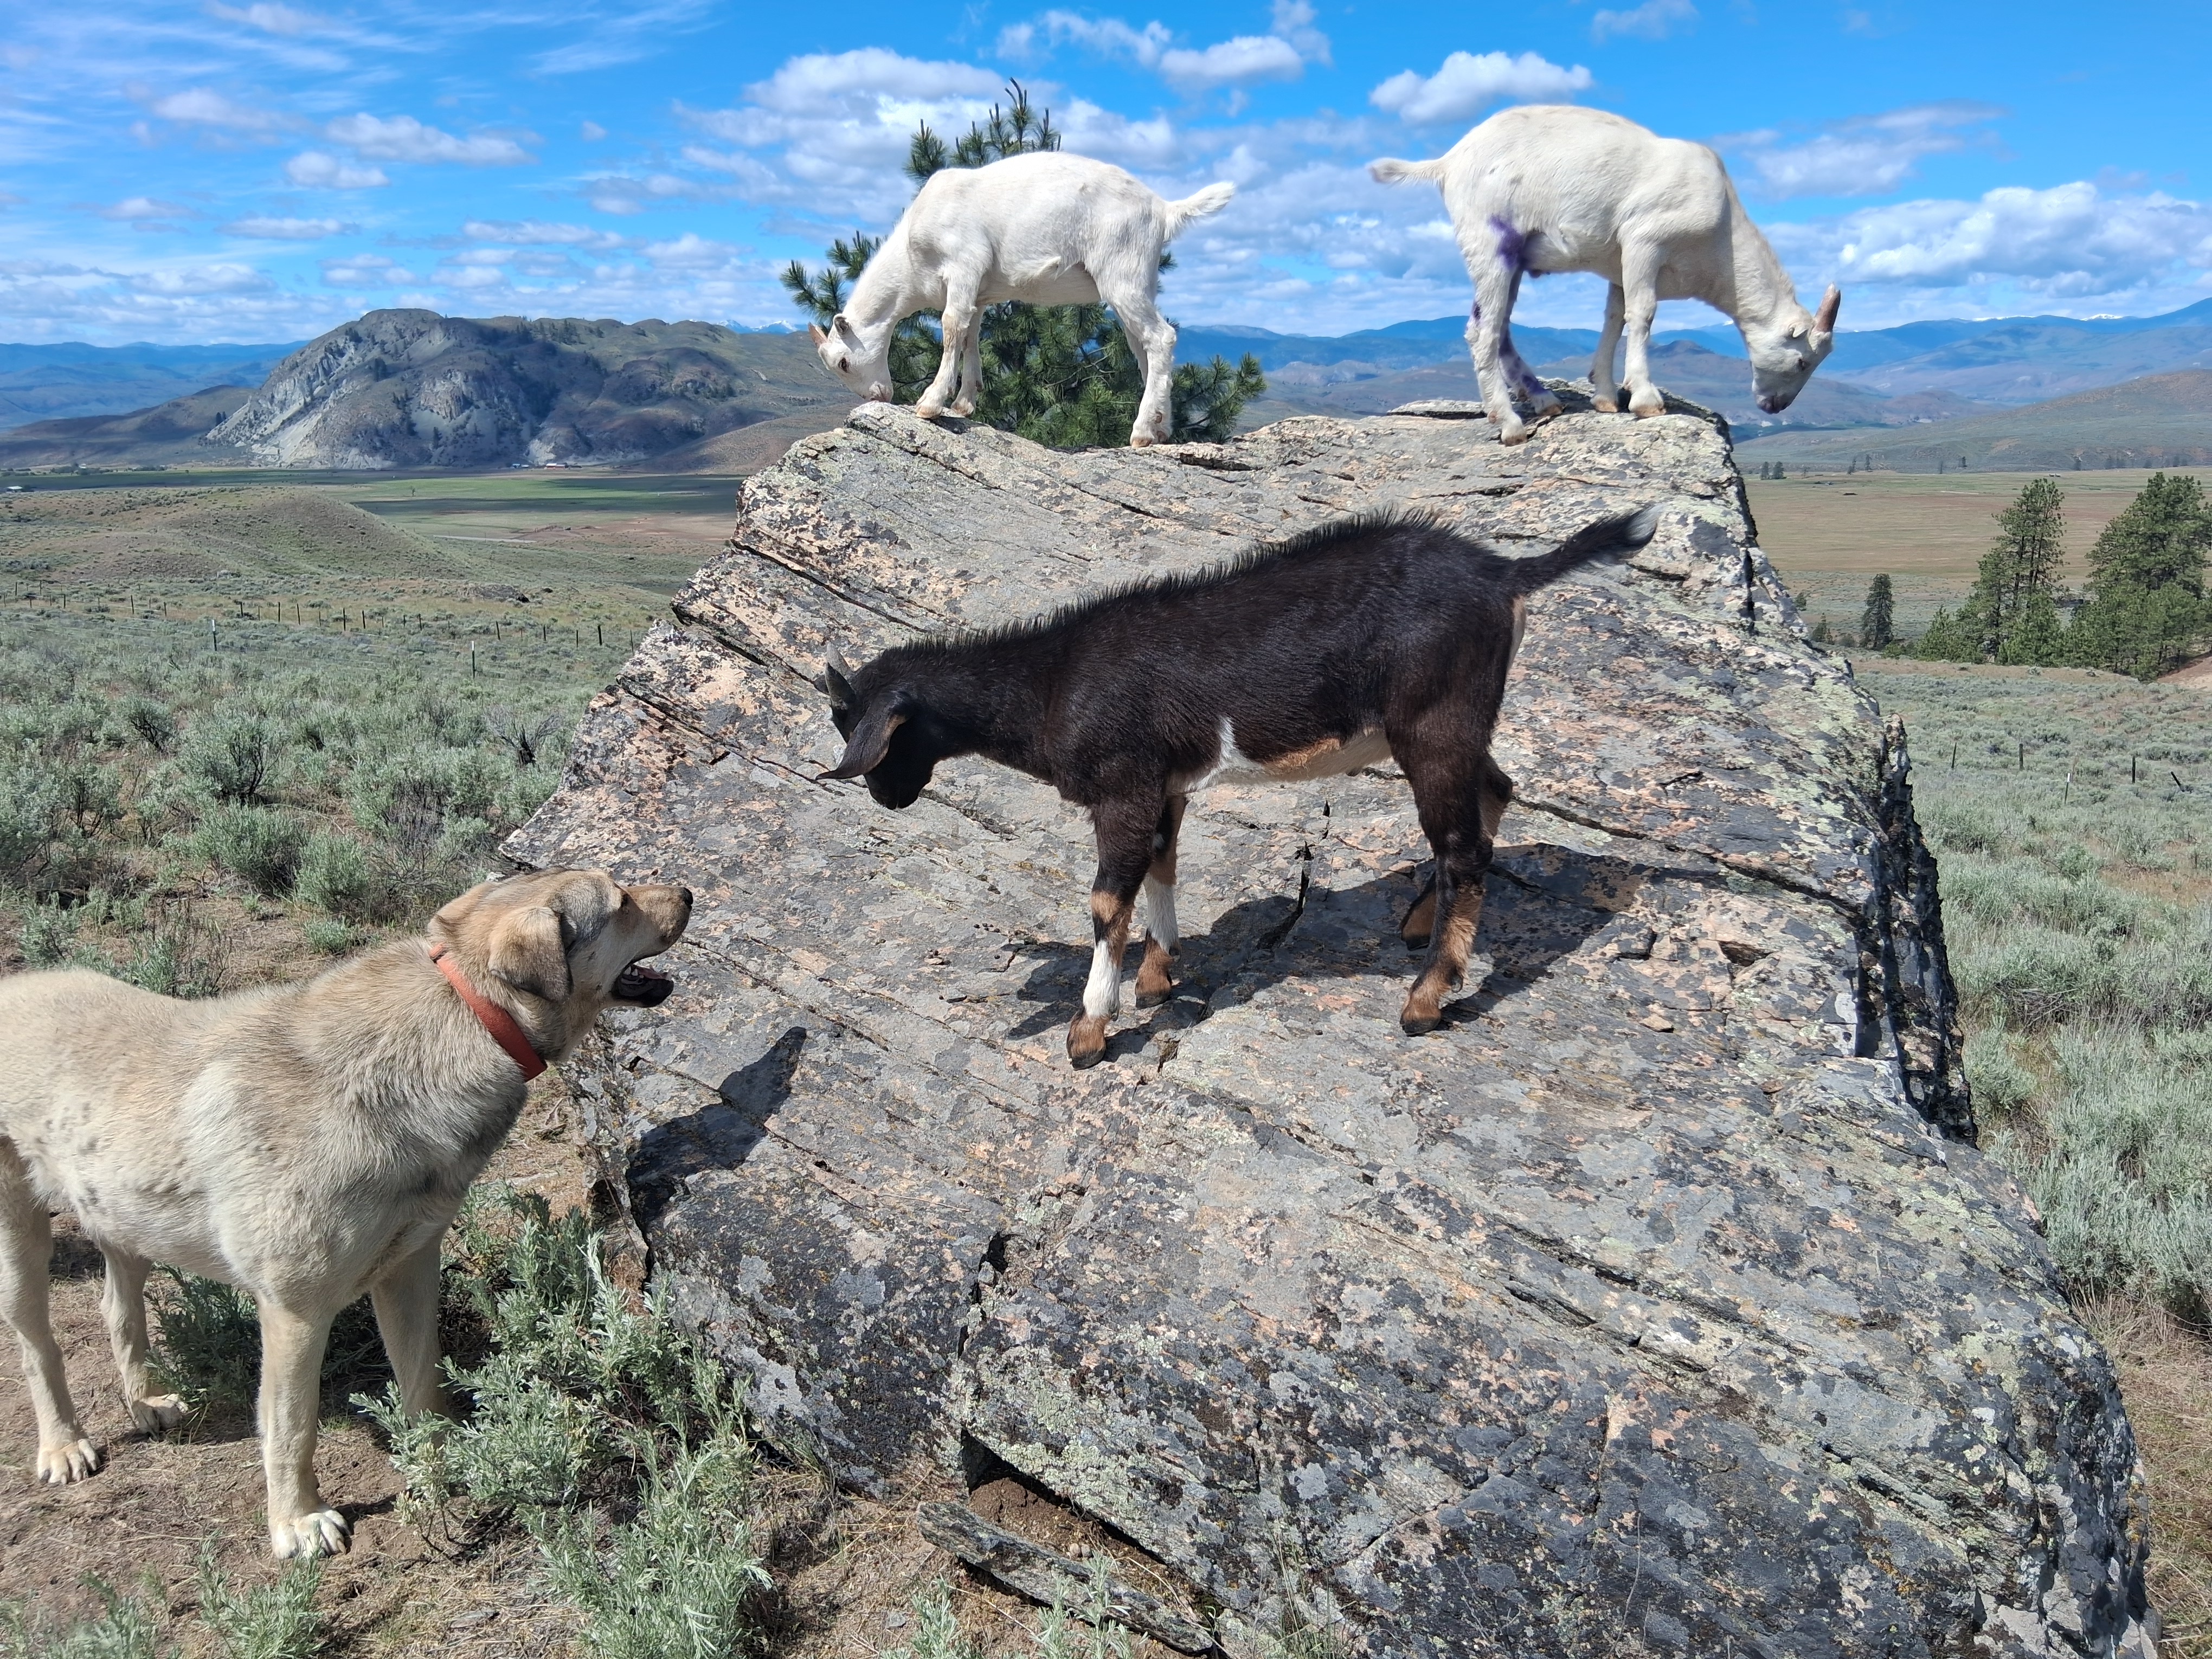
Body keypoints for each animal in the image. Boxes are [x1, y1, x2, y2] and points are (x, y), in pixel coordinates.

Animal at [807, 151, 1235, 447]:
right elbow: (971, 336)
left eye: (844, 362)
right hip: (1139, 280)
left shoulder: (963, 264)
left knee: (1162, 337)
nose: (878, 396)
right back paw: (1161, 428)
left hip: (1122, 271)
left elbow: (951, 327)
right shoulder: (979, 291)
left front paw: (931, 404)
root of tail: (1163, 210)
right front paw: (964, 403)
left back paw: (1143, 431)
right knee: (1143, 346)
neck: (913, 260)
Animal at [817, 506, 1659, 1066]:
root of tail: (1506, 574)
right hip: (1452, 726)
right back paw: (1421, 924)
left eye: (868, 735)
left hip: (1435, 722)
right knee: (1495, 794)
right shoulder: (1166, 784)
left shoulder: (1124, 785)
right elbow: (1163, 864)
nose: (887, 799)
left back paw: (1424, 1000)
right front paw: (1158, 975)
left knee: (1463, 848)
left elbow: (1107, 901)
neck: (1051, 685)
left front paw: (1088, 1031)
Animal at [1371, 106, 1841, 444]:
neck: (1721, 237)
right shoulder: (1645, 240)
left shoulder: (1620, 265)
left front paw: (1604, 396)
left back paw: (1544, 400)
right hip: (1491, 242)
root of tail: (1448, 162)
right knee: (1481, 331)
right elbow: (1644, 314)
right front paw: (1645, 400)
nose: (1775, 407)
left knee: (1498, 325)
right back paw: (1509, 424)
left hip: (1513, 258)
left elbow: (1615, 318)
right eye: (1802, 360)